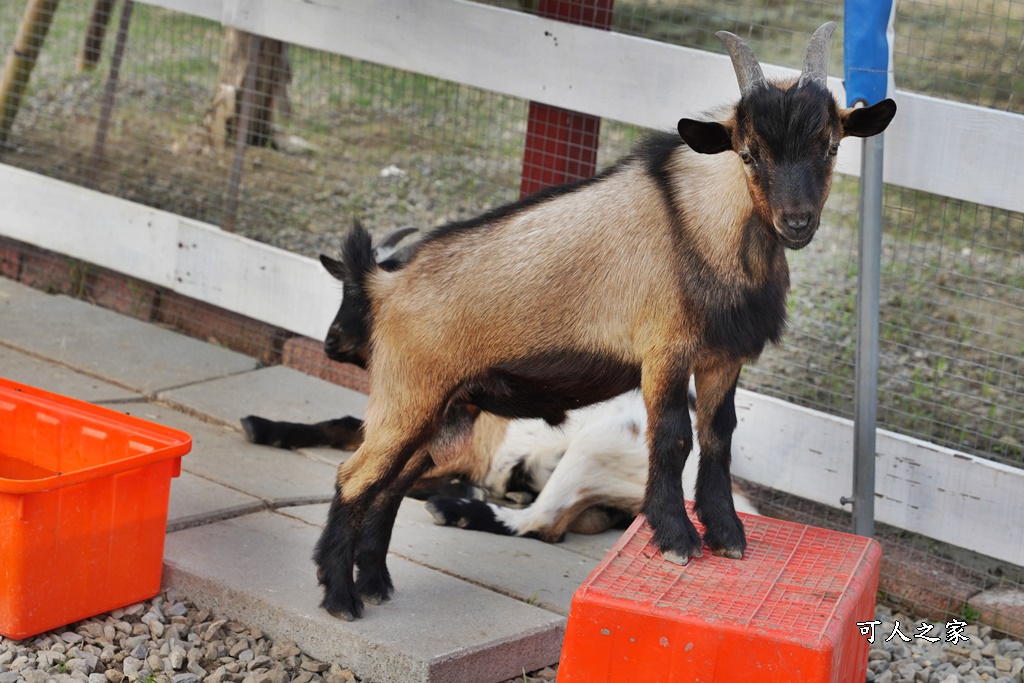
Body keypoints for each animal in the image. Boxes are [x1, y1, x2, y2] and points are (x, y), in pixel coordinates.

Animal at [311, 22, 897, 618]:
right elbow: (672, 438)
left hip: (446, 412)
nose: (796, 222)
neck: (703, 226)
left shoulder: (722, 358)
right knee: (356, 477)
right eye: (748, 153)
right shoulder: (664, 351)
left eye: (831, 145)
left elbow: (718, 437)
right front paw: (677, 540)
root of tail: (385, 286)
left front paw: (728, 536)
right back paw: (341, 596)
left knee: (391, 484)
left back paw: (376, 581)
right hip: (408, 397)